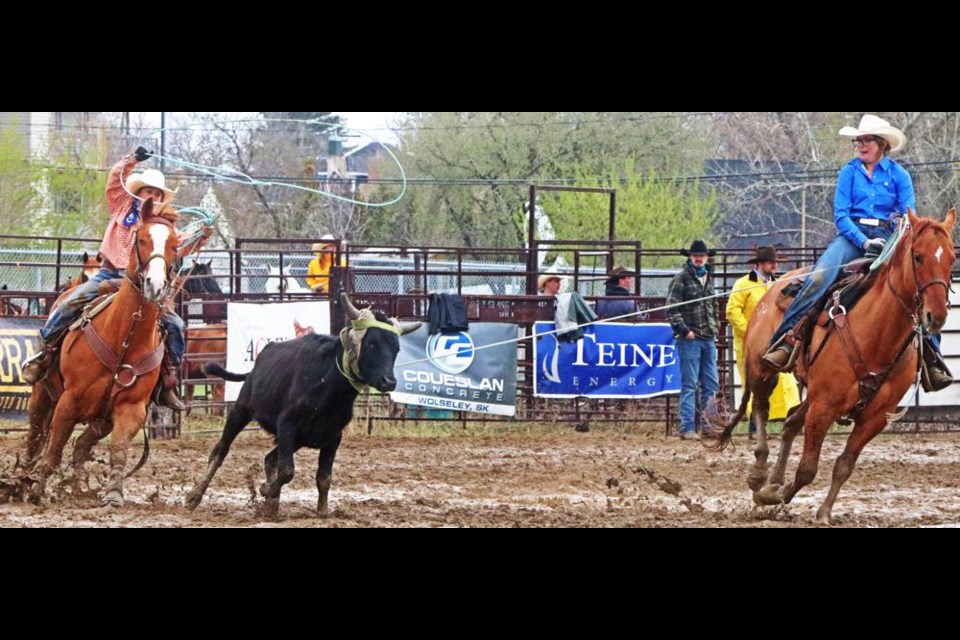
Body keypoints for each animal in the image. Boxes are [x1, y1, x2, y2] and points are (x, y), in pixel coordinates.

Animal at [23, 200, 178, 504]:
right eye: (141, 239)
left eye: (175, 245)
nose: (155, 286)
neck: (124, 339)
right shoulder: (68, 402)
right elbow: (53, 451)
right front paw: (36, 490)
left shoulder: (131, 408)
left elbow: (118, 450)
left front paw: (114, 492)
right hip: (42, 397)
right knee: (35, 437)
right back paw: (20, 477)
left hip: (101, 418)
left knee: (81, 446)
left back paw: (78, 487)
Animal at [708, 210, 956, 524]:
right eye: (918, 256)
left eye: (951, 259)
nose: (936, 316)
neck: (877, 335)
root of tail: (773, 284)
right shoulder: (823, 407)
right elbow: (807, 468)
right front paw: (772, 497)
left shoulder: (875, 417)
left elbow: (844, 466)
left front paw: (822, 511)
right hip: (761, 368)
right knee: (762, 410)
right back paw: (760, 475)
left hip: (810, 391)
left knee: (790, 421)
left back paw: (774, 479)